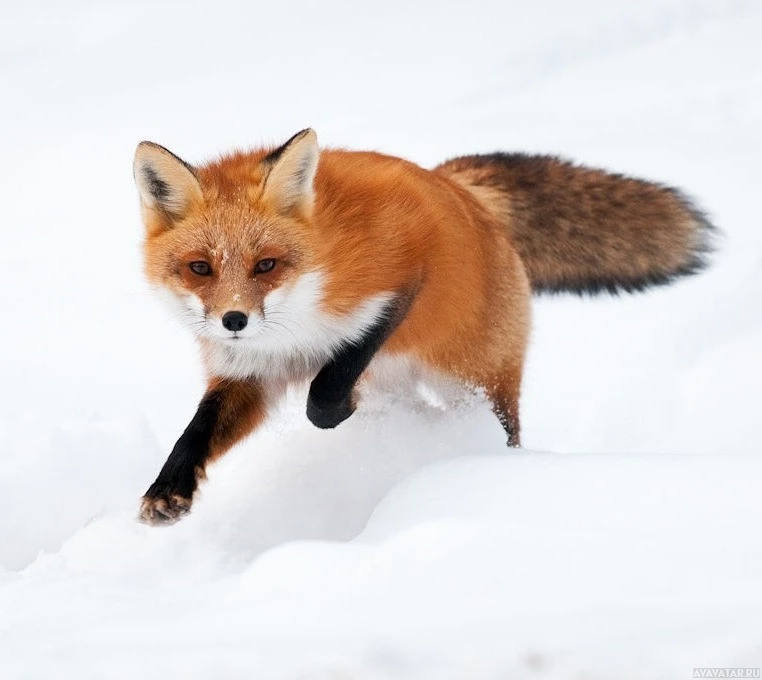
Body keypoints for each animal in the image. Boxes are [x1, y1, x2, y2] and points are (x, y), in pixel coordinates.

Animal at [132, 127, 712, 524]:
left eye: (266, 265)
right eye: (200, 268)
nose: (234, 320)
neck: (297, 329)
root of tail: (461, 187)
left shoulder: (405, 269)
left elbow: (329, 385)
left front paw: (342, 407)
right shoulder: (248, 371)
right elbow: (196, 433)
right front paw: (167, 491)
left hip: (477, 381)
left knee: (503, 430)